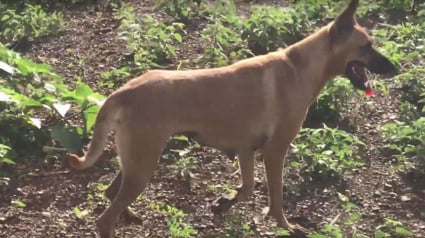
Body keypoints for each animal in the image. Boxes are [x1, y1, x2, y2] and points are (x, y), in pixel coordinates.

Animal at [68, 0, 396, 237]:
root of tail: (125, 90)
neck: (301, 66)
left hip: (136, 161)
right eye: (366, 45)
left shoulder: (246, 150)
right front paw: (286, 227)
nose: (395, 68)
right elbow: (276, 198)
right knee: (105, 220)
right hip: (143, 164)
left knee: (111, 192)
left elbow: (248, 187)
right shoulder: (275, 152)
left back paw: (131, 215)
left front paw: (224, 203)